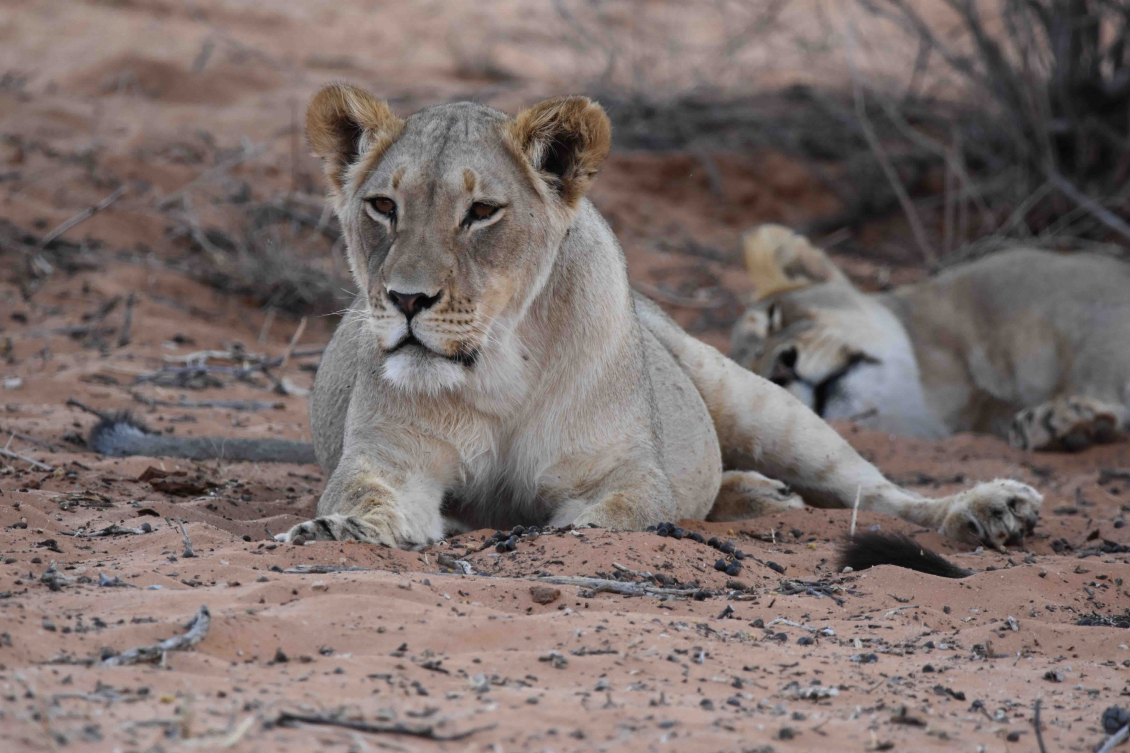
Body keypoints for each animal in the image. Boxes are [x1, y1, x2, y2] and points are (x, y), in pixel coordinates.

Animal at [90, 84, 1042, 551]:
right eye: (383, 206)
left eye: (481, 213)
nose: (405, 301)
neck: (499, 368)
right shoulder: (388, 461)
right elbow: (367, 498)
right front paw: (339, 529)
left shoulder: (627, 474)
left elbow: (611, 514)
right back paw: (753, 494)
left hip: (759, 397)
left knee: (874, 488)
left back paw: (985, 509)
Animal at [731, 225, 1130, 451]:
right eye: (759, 379)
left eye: (774, 318)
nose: (782, 369)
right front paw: (1067, 424)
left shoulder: (1092, 302)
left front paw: (1070, 415)